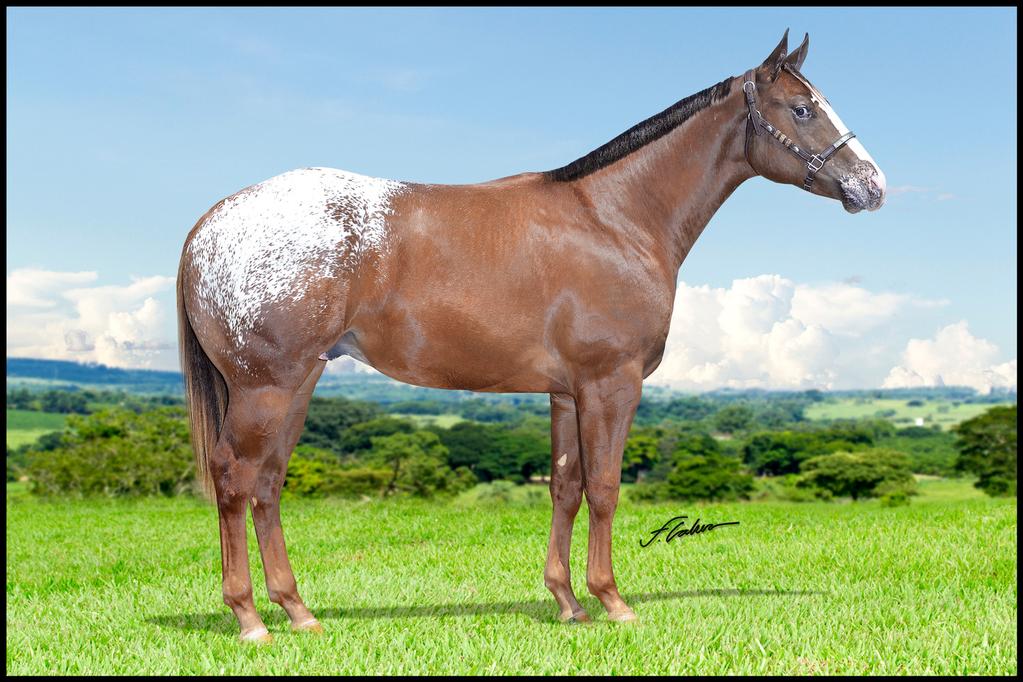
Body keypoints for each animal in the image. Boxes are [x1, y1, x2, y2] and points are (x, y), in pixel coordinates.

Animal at [175, 29, 887, 642]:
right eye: (802, 108)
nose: (872, 185)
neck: (615, 219)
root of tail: (211, 224)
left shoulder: (567, 392)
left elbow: (566, 488)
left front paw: (568, 601)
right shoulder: (610, 384)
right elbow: (605, 489)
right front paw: (613, 601)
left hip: (297, 383)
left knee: (267, 485)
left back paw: (298, 611)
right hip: (266, 387)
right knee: (234, 479)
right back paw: (250, 618)